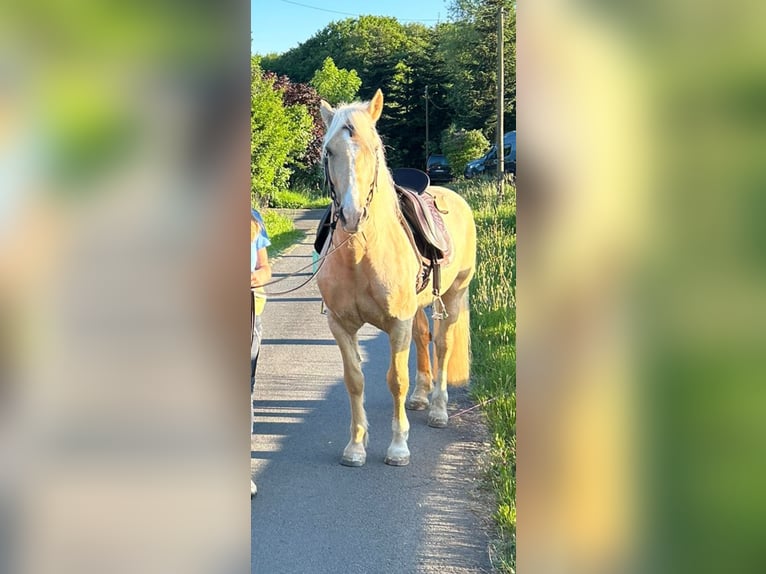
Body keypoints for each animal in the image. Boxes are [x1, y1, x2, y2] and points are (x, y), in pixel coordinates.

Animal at [317, 89, 477, 467]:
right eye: (329, 151)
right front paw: (355, 446)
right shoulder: (340, 324)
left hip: (454, 296)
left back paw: (437, 410)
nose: (351, 215)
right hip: (417, 307)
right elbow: (354, 380)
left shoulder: (397, 323)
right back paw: (421, 397)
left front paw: (398, 446)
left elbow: (396, 380)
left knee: (443, 346)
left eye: (375, 148)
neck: (361, 254)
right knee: (423, 337)